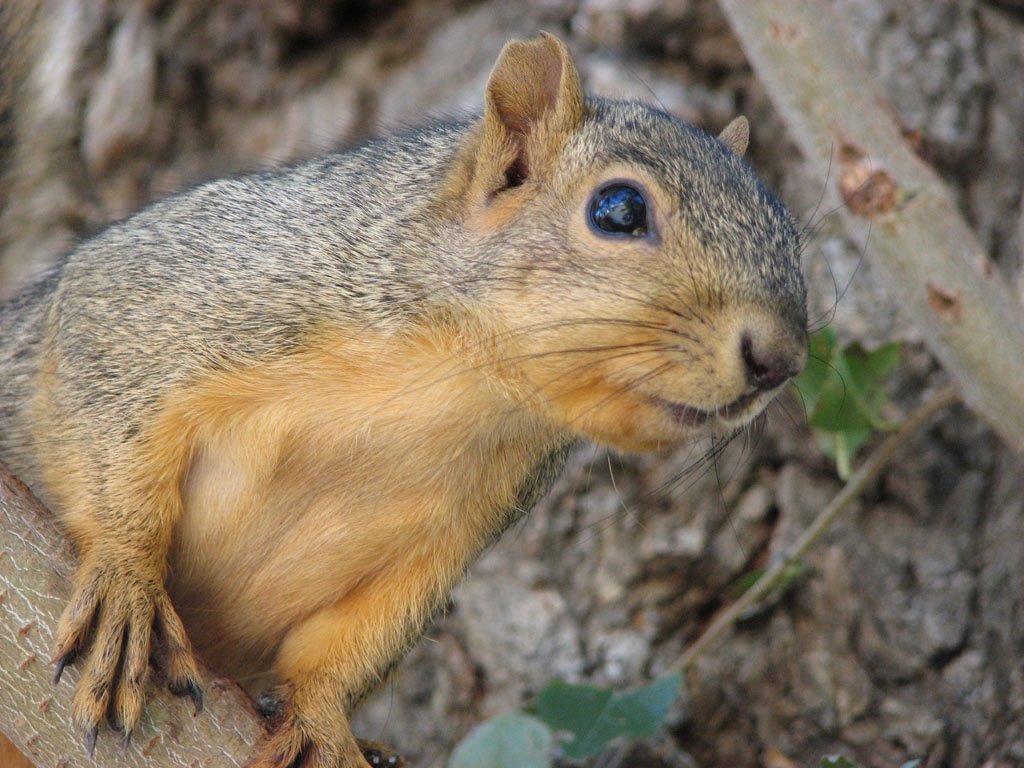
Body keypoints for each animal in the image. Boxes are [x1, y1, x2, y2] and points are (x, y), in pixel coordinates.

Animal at [0, 33, 806, 765]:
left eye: (795, 240)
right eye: (617, 209)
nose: (780, 360)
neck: (457, 385)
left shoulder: (453, 535)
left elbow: (360, 641)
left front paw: (324, 723)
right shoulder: (161, 297)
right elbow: (112, 432)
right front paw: (127, 580)